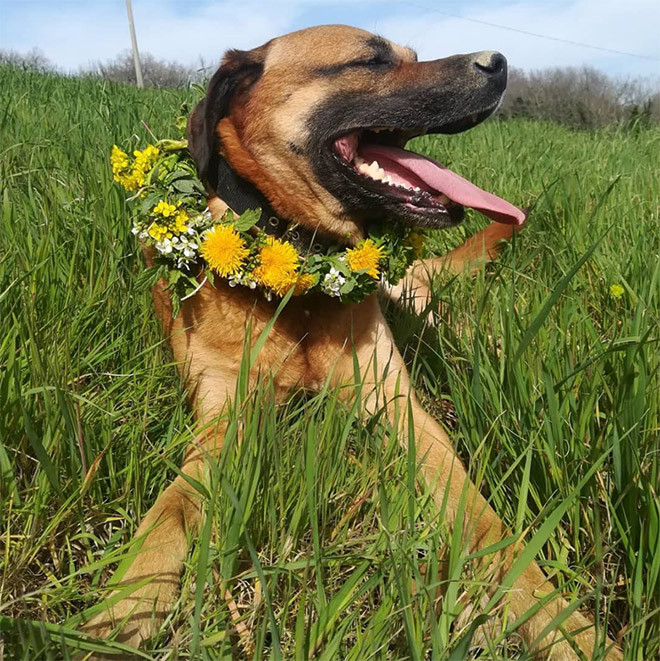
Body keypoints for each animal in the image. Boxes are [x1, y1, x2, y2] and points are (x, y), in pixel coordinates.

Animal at [84, 23, 624, 656]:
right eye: (370, 59)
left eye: (413, 56)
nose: (500, 63)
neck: (297, 280)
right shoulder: (223, 418)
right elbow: (170, 508)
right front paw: (127, 598)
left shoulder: (400, 408)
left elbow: (488, 524)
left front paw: (562, 621)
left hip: (418, 302)